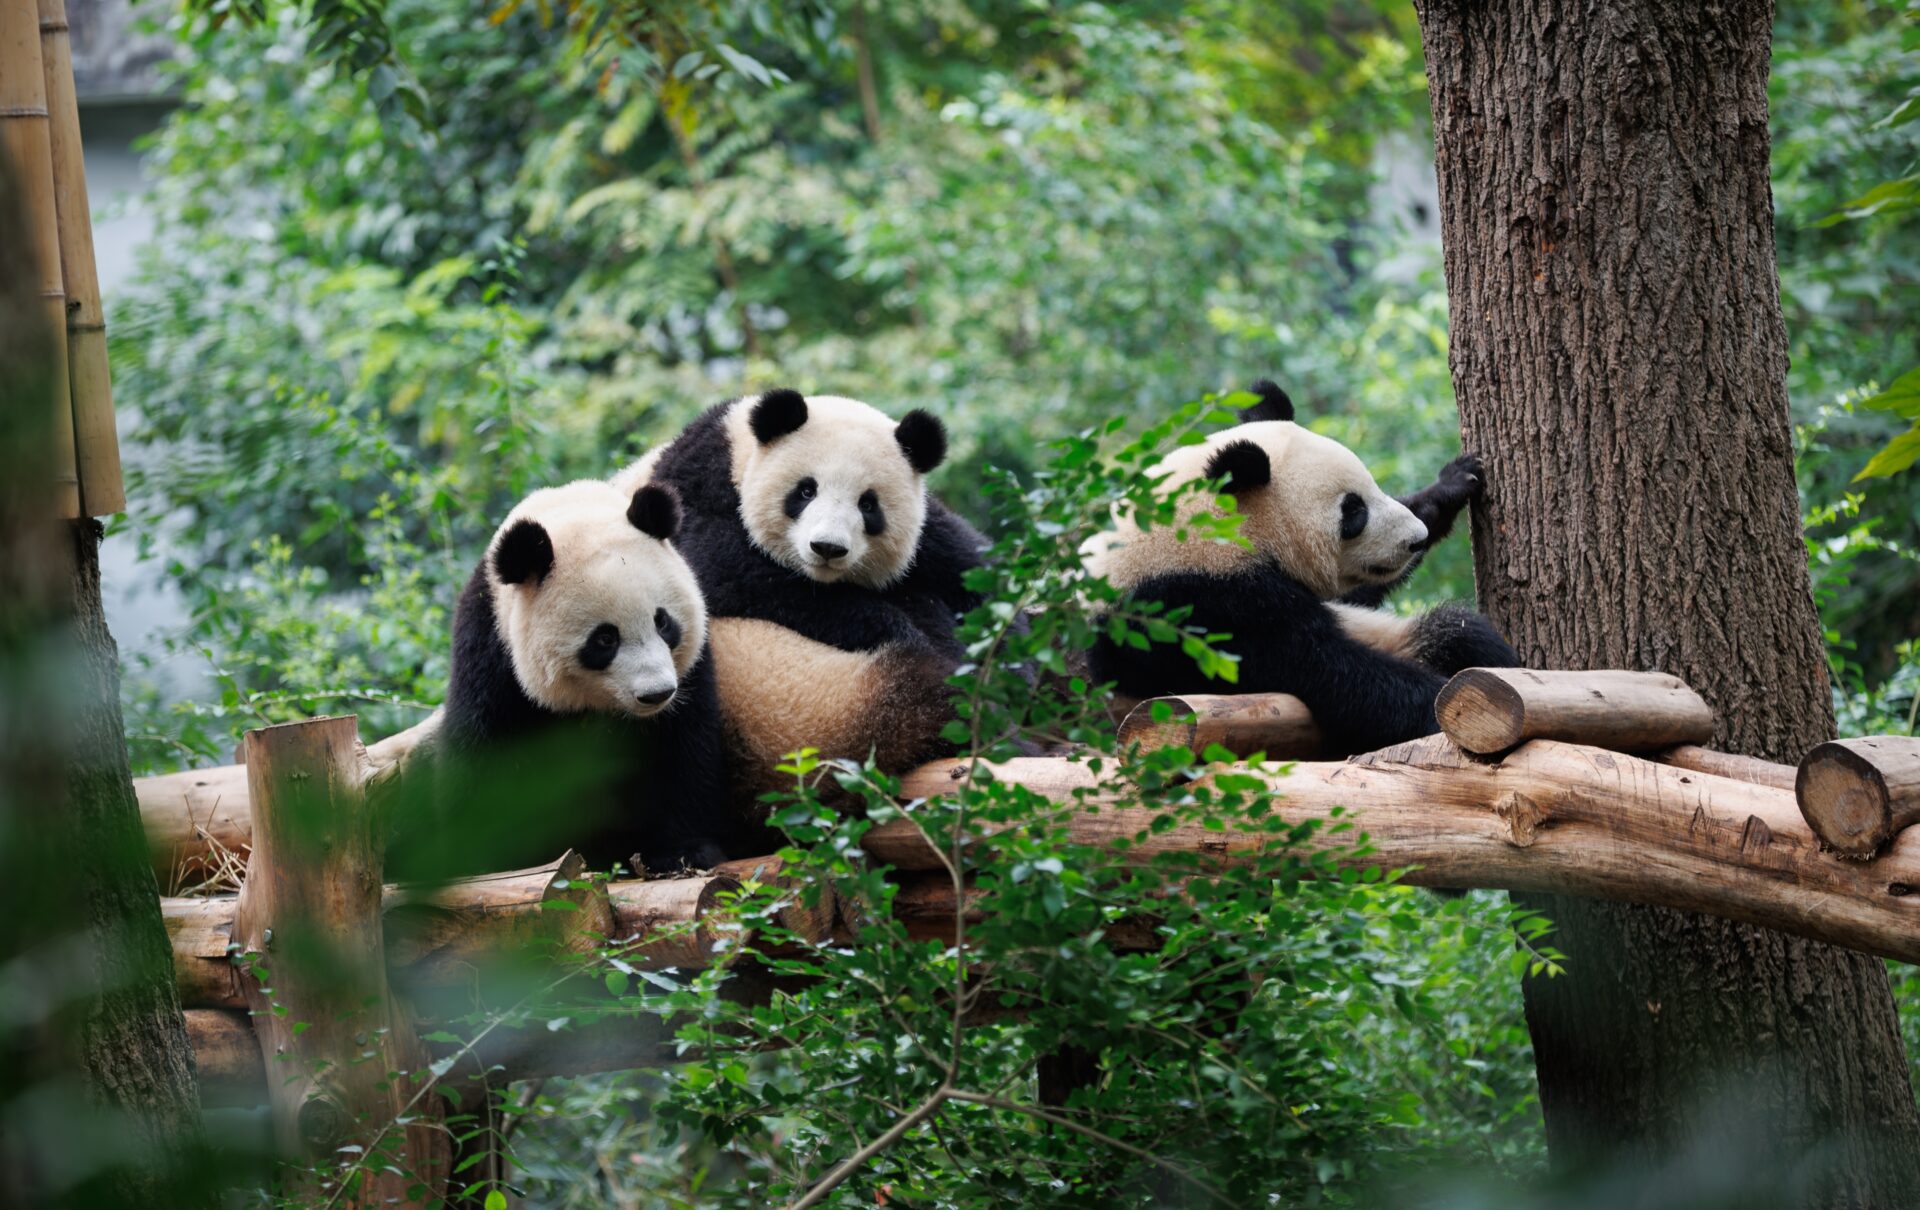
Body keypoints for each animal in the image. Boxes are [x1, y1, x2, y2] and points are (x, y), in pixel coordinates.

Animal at [391, 478, 766, 882]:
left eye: (663, 622)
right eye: (605, 639)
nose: (656, 694)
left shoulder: (691, 674)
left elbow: (683, 752)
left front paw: (682, 853)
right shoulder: (492, 653)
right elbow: (486, 756)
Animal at [613, 389, 986, 804]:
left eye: (868, 504)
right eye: (806, 490)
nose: (828, 548)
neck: (738, 448)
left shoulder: (930, 536)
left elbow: (965, 567)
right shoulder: (694, 488)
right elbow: (724, 567)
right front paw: (895, 626)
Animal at [1082, 381, 1519, 756]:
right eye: (1353, 511)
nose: (1415, 538)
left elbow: (1354, 595)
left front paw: (1451, 485)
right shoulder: (1204, 607)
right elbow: (1328, 672)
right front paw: (1442, 704)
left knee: (1456, 632)